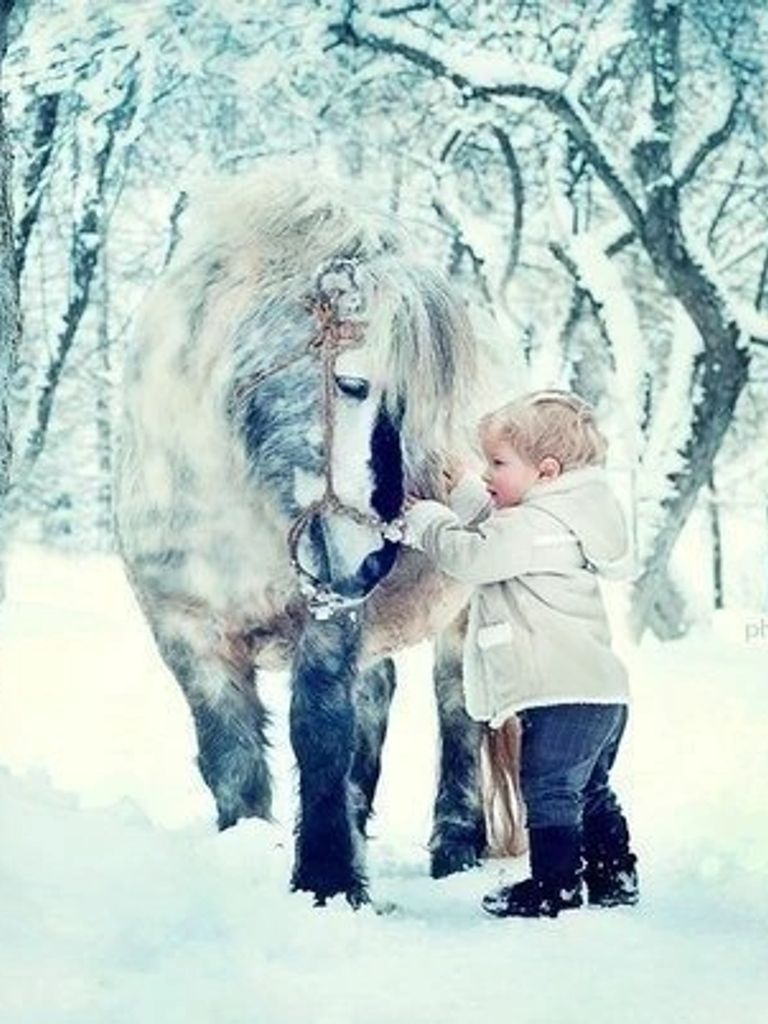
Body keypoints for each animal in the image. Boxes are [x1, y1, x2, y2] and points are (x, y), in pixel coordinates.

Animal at [114, 163, 518, 909]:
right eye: (353, 384)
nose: (373, 561)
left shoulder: (327, 615)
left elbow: (320, 733)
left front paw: (326, 880)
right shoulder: (185, 628)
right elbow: (230, 754)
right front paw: (255, 846)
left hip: (464, 617)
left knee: (458, 716)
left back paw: (455, 846)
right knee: (378, 698)